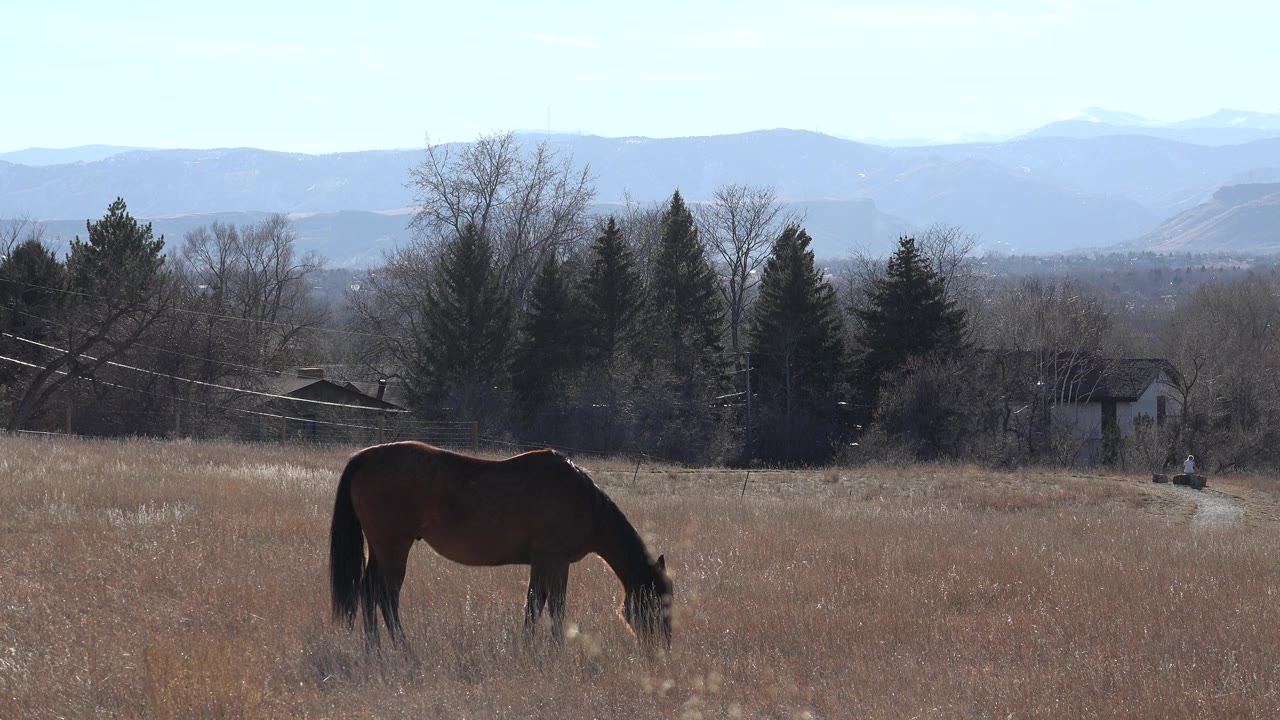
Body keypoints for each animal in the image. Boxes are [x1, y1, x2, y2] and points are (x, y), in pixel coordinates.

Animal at [329, 441, 673, 651]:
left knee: (368, 591)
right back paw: (402, 647)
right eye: (658, 605)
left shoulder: (551, 564)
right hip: (393, 549)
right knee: (386, 596)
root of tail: (369, 455)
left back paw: (374, 648)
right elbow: (547, 605)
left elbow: (542, 604)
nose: (663, 648)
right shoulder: (551, 560)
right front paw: (548, 648)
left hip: (381, 548)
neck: (582, 500)